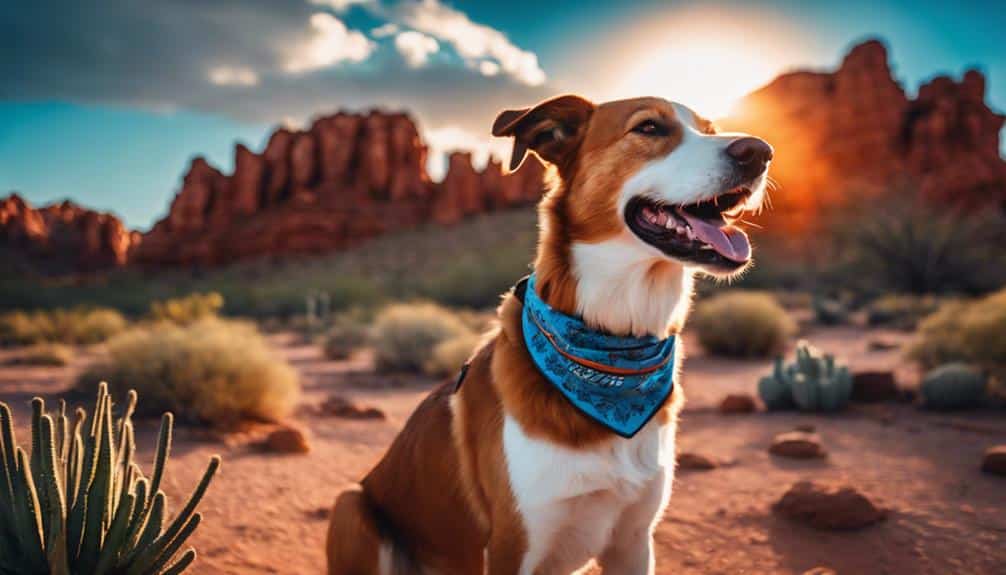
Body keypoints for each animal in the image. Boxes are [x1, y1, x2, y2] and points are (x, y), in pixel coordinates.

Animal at [325, 92, 772, 570]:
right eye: (649, 128)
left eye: (710, 130)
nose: (761, 152)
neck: (612, 353)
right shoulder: (512, 546)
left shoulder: (633, 542)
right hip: (349, 504)